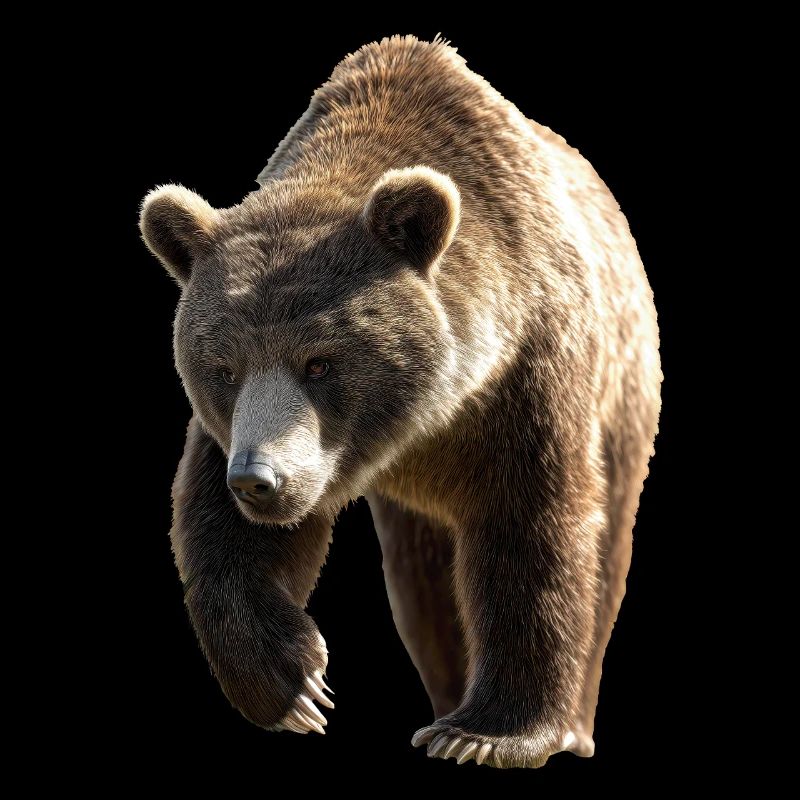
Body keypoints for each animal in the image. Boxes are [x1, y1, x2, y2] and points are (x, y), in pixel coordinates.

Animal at [139, 35, 661, 769]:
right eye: (224, 367)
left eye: (320, 360)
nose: (259, 479)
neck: (434, 417)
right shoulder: (234, 433)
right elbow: (224, 534)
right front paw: (294, 683)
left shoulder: (530, 371)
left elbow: (532, 528)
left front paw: (487, 732)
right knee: (425, 585)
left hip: (624, 395)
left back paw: (566, 724)